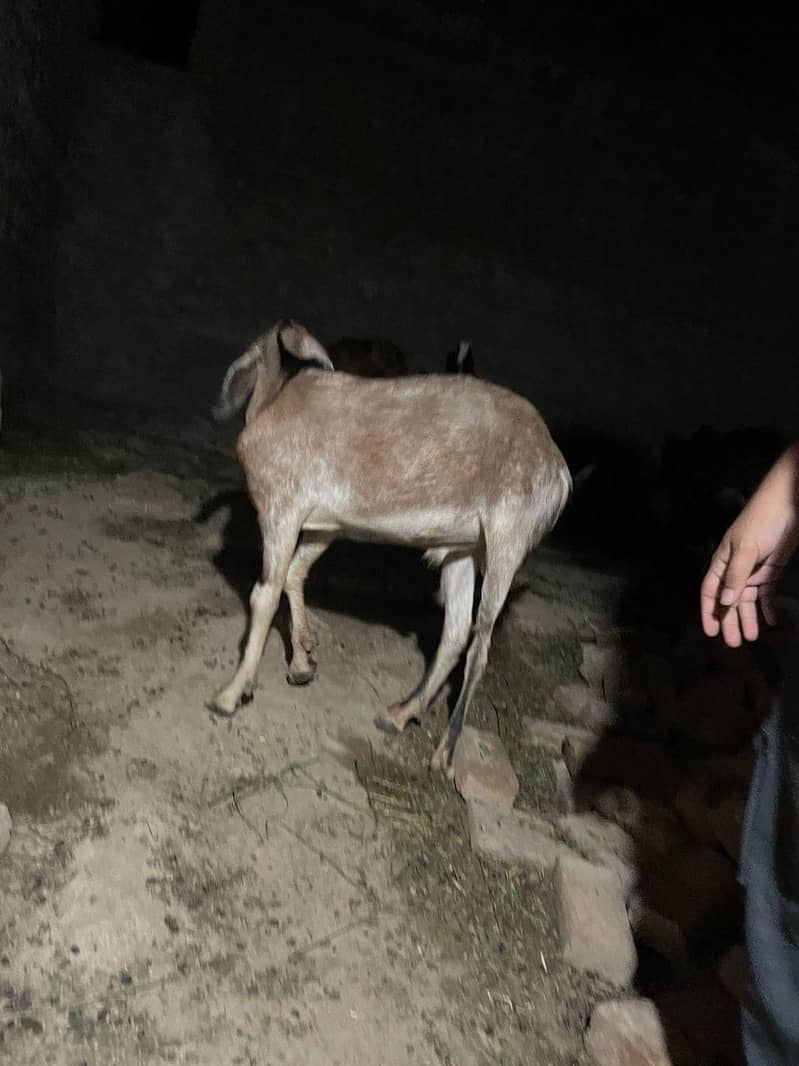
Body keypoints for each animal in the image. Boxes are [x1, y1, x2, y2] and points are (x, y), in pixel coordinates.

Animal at [210, 319, 571, 772]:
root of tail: (558, 470)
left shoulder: (282, 514)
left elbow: (265, 596)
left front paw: (229, 695)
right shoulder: (322, 527)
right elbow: (294, 575)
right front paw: (302, 664)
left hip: (506, 545)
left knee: (480, 647)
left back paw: (444, 753)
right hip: (462, 551)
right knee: (454, 634)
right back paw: (399, 715)